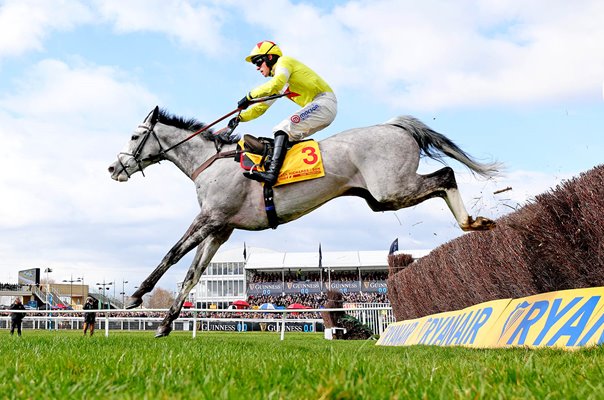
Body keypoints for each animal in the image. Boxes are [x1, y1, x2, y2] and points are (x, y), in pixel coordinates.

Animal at [107, 106, 500, 338]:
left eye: (134, 135)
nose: (113, 167)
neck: (212, 163)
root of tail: (394, 126)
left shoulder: (210, 217)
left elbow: (172, 254)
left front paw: (135, 297)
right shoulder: (220, 229)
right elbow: (192, 273)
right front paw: (165, 322)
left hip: (392, 188)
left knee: (446, 175)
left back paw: (471, 222)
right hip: (381, 199)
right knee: (442, 178)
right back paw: (474, 223)